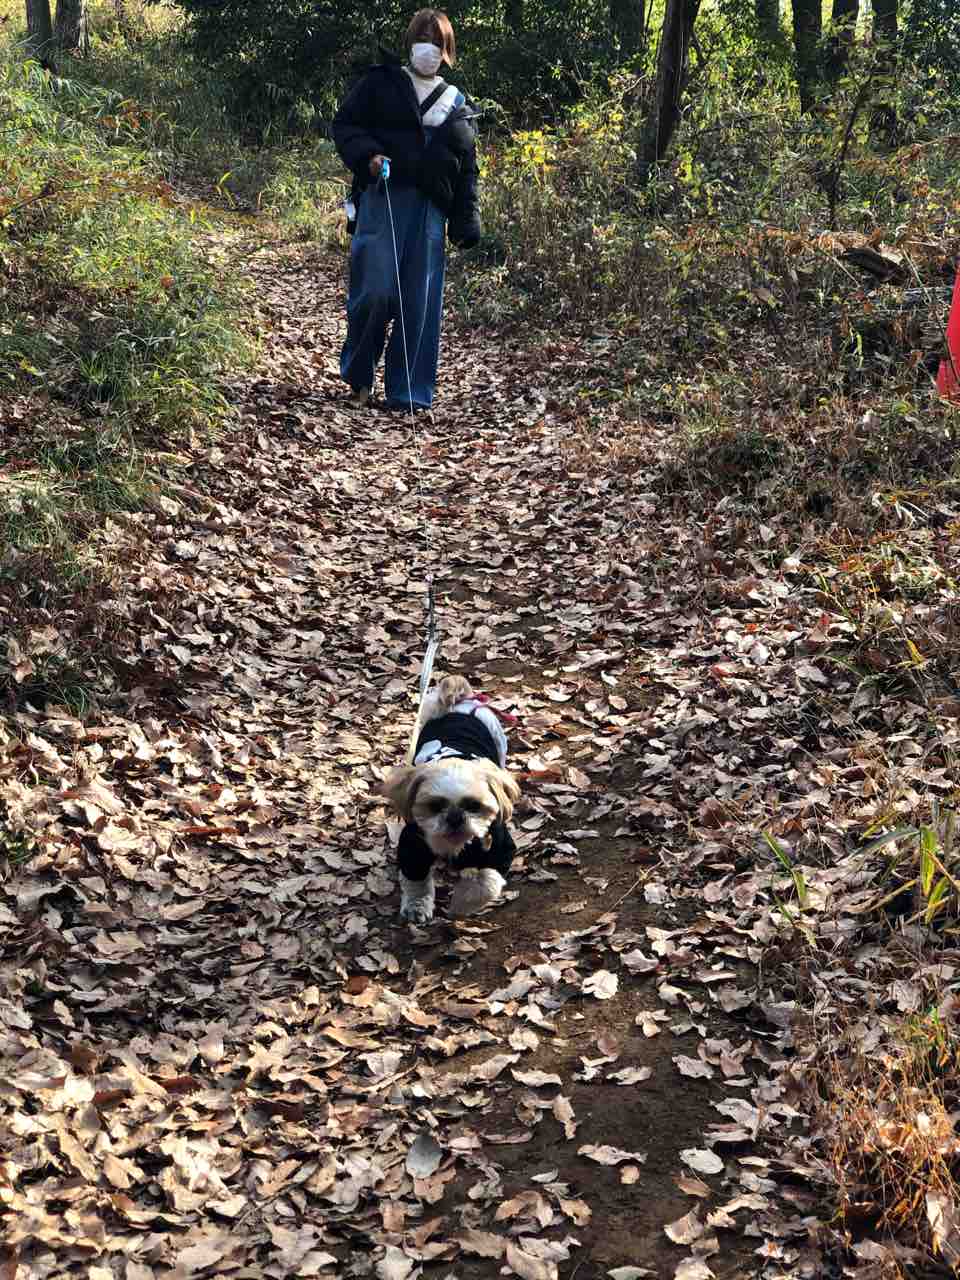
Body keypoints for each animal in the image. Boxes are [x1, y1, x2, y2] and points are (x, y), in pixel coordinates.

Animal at [379, 675, 520, 923]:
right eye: (435, 806)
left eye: (474, 806)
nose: (455, 818)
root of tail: (457, 703)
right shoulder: (414, 845)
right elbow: (416, 881)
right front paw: (417, 907)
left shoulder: (499, 850)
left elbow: (486, 881)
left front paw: (460, 905)